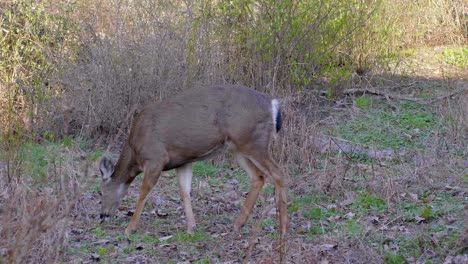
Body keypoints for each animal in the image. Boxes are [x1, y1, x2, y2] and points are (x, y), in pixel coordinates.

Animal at [98, 85, 288, 237]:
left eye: (100, 192)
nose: (102, 215)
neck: (134, 151)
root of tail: (273, 104)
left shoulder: (155, 158)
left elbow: (144, 191)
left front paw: (130, 228)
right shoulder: (183, 161)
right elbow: (185, 191)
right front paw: (192, 228)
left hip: (253, 141)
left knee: (278, 173)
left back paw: (283, 228)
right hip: (239, 147)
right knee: (258, 177)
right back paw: (238, 224)